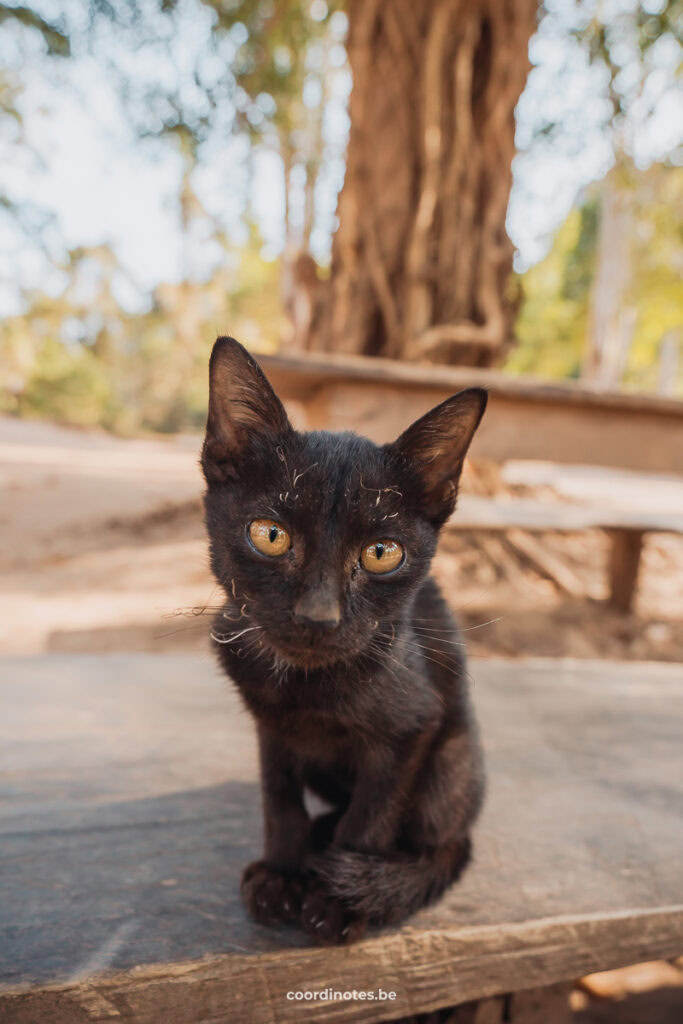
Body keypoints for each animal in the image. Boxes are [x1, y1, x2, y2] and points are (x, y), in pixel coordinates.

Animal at [200, 339, 489, 946]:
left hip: (452, 758)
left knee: (447, 844)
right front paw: (283, 872)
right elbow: (278, 799)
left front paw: (339, 898)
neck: (304, 688)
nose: (318, 615)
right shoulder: (270, 726)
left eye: (382, 553)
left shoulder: (414, 726)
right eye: (270, 535)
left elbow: (372, 816)